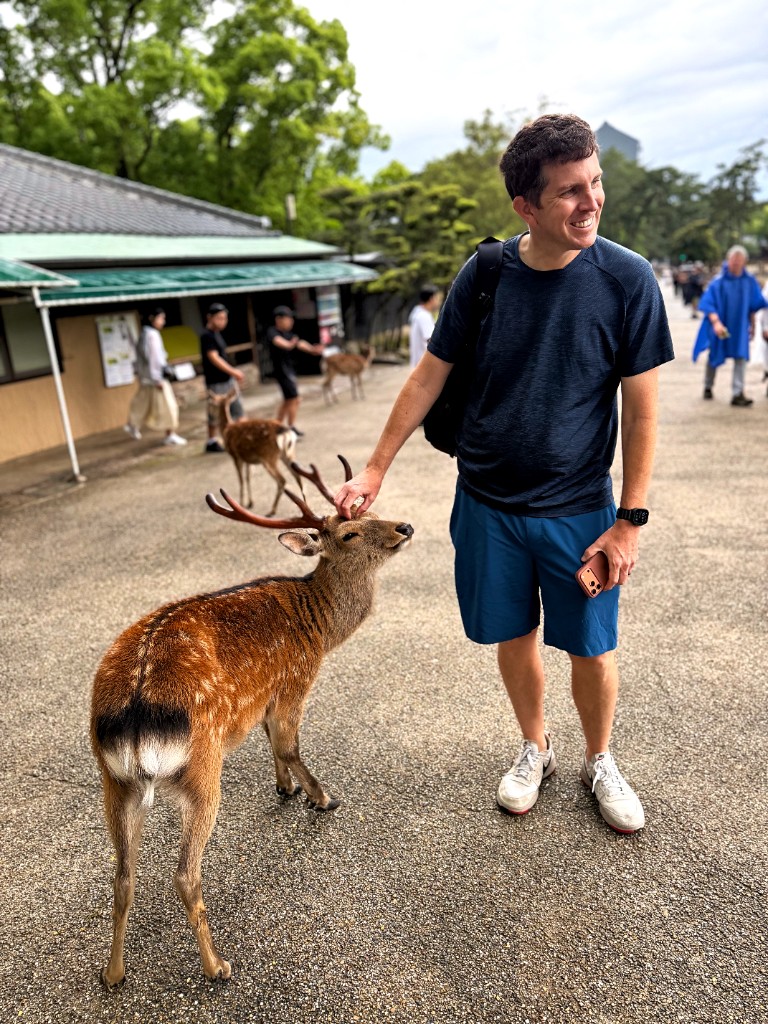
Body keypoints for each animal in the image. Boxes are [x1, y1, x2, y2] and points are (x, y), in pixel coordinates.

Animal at [90, 456, 413, 989]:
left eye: (373, 511)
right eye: (348, 533)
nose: (404, 527)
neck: (319, 629)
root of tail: (134, 713)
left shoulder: (262, 701)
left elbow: (270, 742)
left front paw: (287, 788)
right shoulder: (294, 682)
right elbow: (289, 746)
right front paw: (321, 797)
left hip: (114, 780)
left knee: (122, 873)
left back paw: (113, 973)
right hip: (202, 768)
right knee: (184, 873)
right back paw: (217, 966)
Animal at [208, 387, 305, 515]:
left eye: (212, 404)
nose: (211, 417)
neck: (226, 428)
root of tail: (285, 433)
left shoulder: (235, 456)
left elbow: (241, 480)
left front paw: (241, 503)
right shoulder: (248, 459)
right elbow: (248, 478)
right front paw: (250, 502)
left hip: (269, 457)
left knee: (282, 480)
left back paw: (272, 510)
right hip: (288, 454)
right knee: (298, 475)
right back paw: (306, 505)